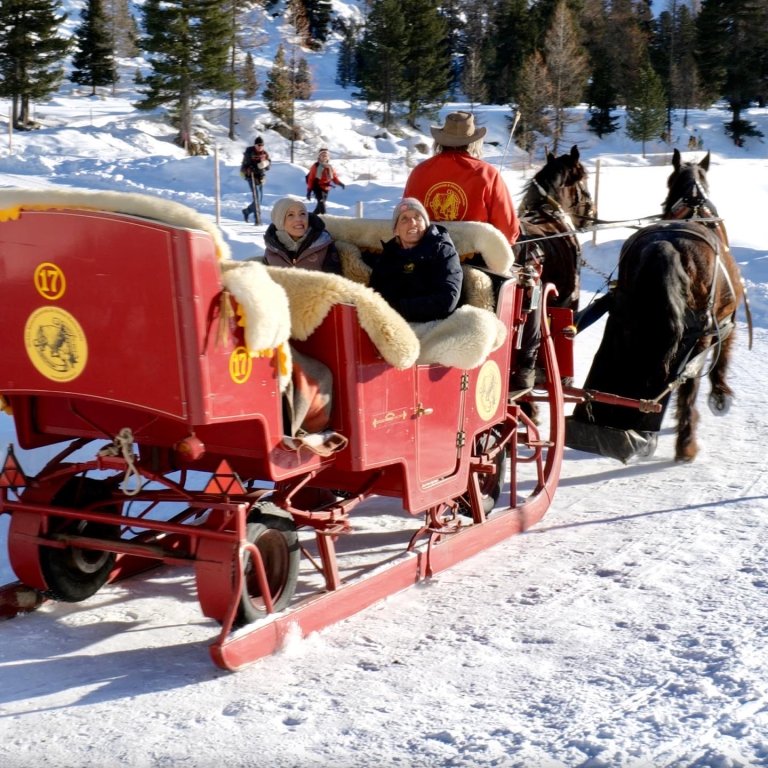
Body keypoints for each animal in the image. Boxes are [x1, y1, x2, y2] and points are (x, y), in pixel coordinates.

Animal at [568, 148, 748, 462]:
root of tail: (665, 246)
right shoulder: (726, 322)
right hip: (700, 336)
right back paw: (686, 445)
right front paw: (720, 397)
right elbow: (721, 359)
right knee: (688, 386)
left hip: (625, 321)